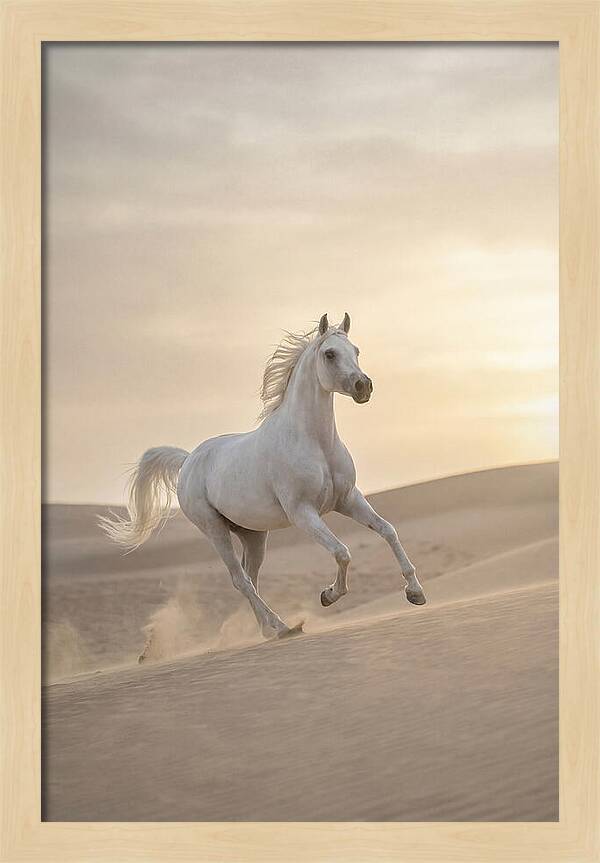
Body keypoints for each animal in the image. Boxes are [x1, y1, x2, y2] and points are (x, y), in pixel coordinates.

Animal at [100, 313, 426, 639]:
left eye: (356, 351)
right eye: (330, 354)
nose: (363, 386)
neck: (315, 442)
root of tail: (188, 460)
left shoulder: (347, 499)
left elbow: (387, 530)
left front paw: (415, 593)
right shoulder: (303, 513)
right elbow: (342, 552)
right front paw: (328, 595)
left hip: (253, 535)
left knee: (251, 577)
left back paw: (267, 630)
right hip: (214, 529)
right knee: (240, 580)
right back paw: (282, 627)